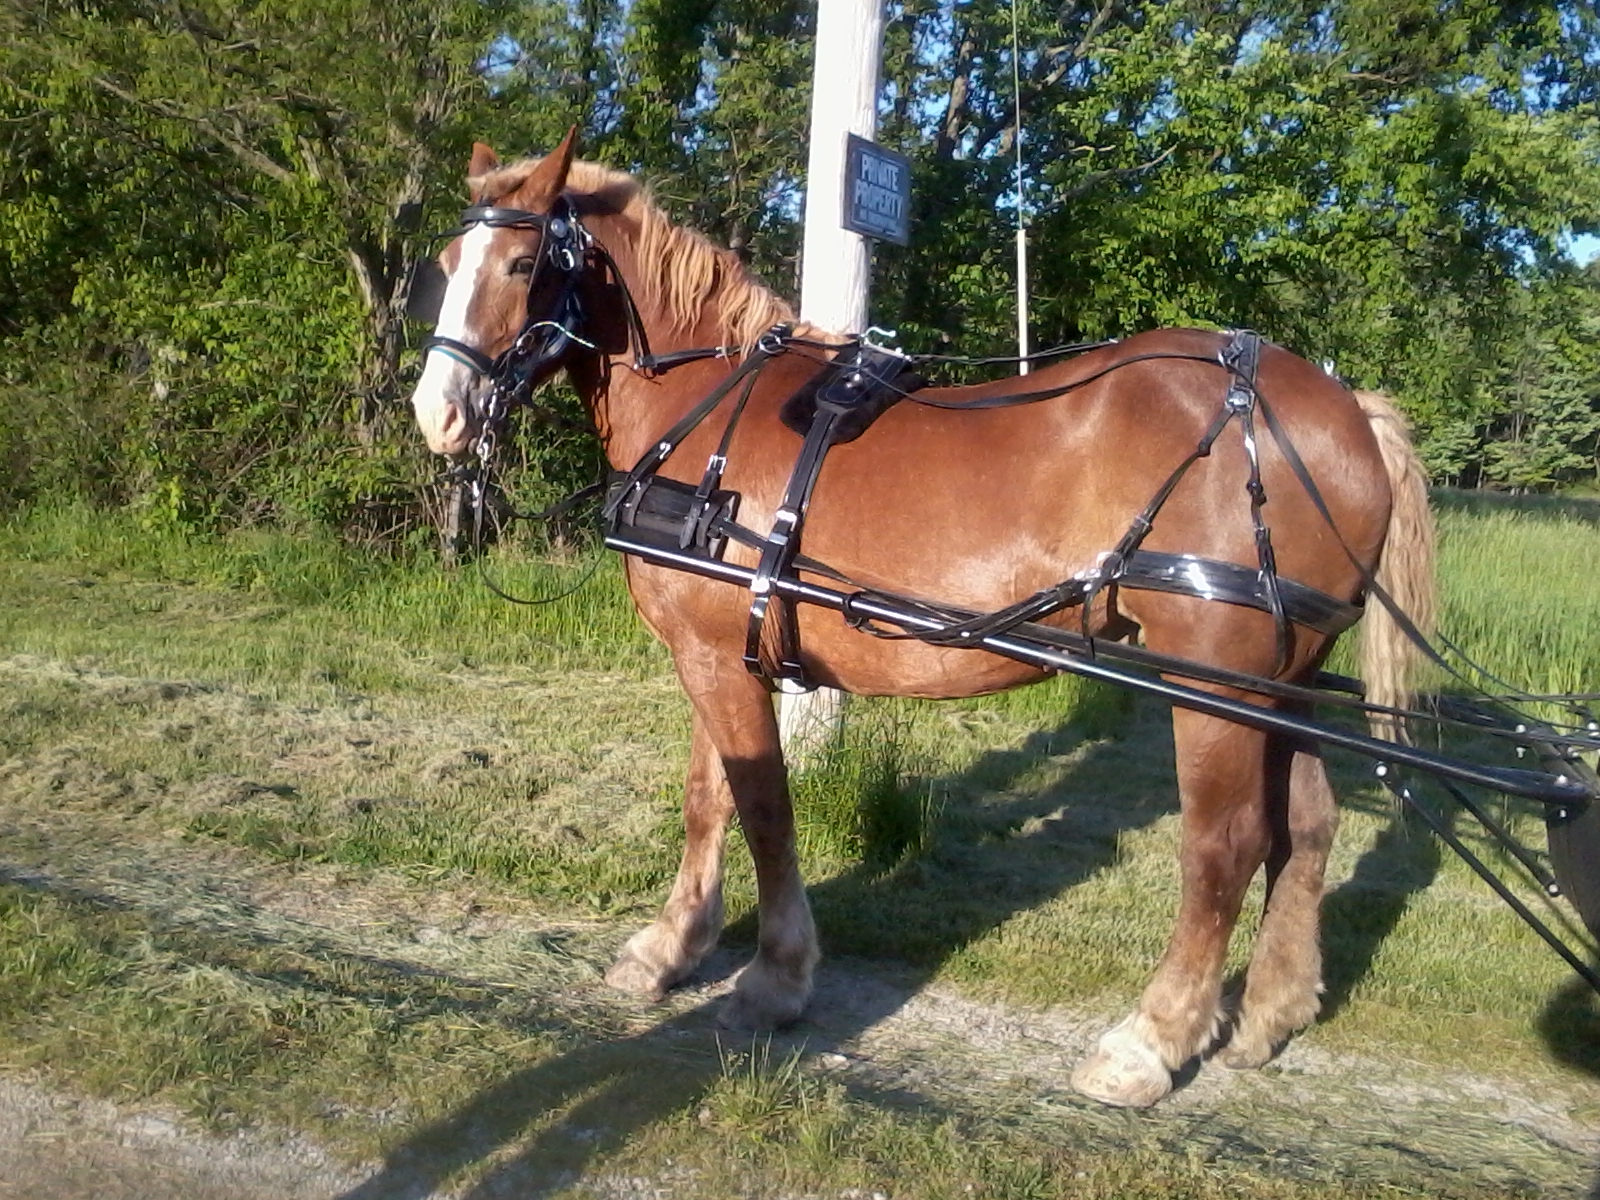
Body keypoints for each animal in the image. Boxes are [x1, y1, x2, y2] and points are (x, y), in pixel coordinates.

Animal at [408, 130, 1435, 1108]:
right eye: (452, 258)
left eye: (521, 265)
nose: (437, 413)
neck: (710, 408)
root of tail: (1342, 405)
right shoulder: (716, 651)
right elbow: (712, 798)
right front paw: (670, 949)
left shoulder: (720, 660)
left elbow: (765, 806)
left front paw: (775, 980)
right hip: (1283, 681)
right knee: (1307, 828)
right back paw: (1269, 1013)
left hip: (1214, 680)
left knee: (1227, 845)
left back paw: (1150, 1043)